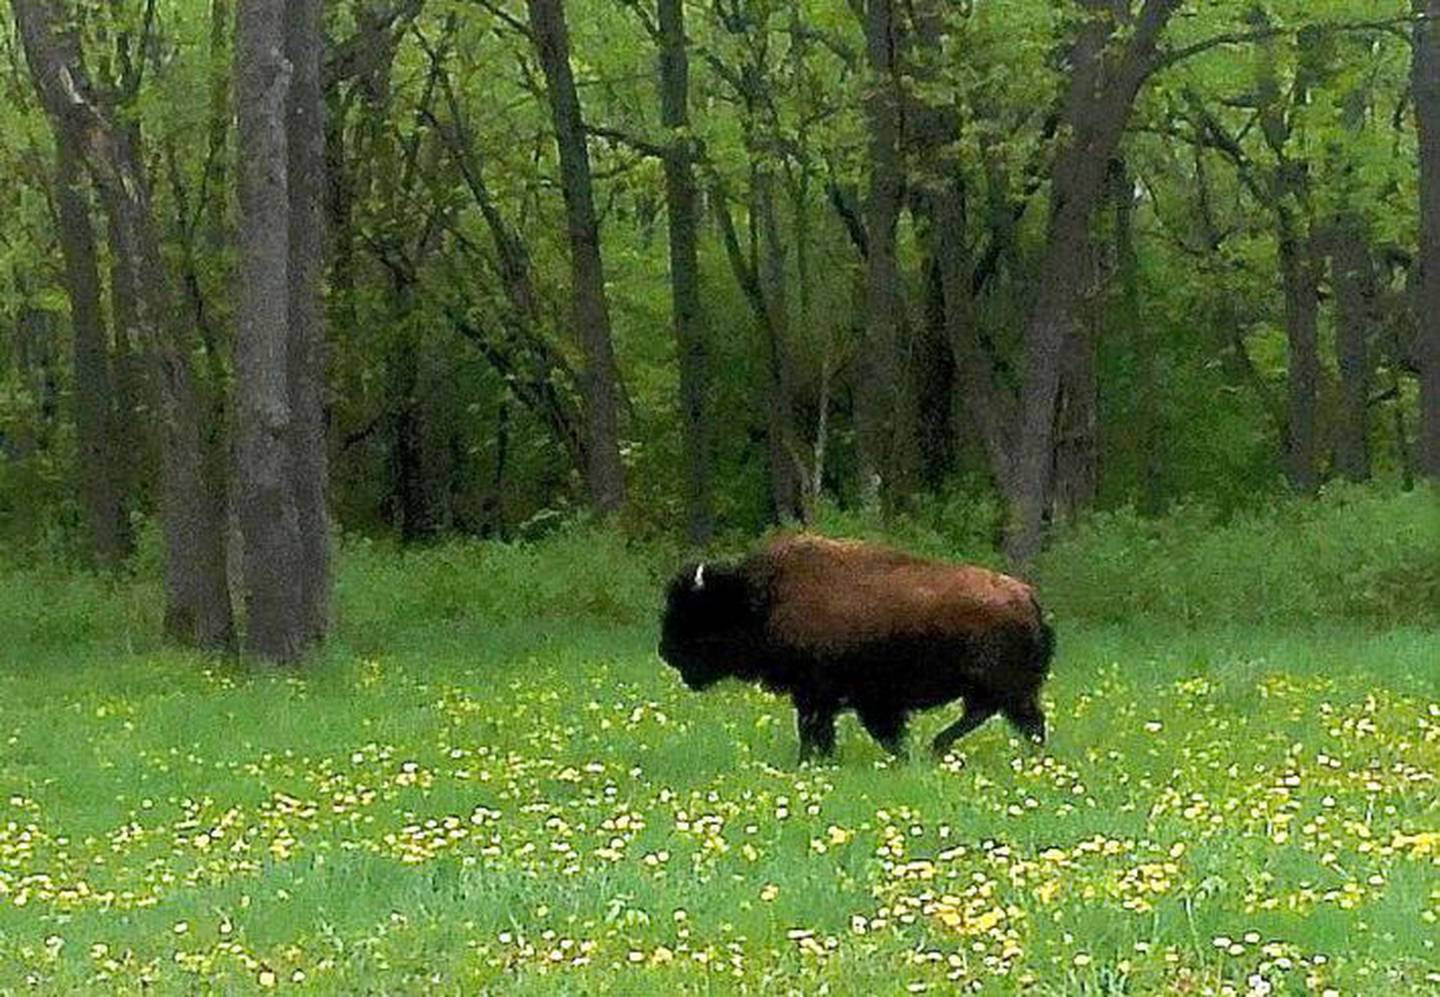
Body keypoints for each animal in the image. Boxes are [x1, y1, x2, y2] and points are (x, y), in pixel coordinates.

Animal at [659, 538, 1054, 760]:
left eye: (696, 612)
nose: (666, 650)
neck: (759, 599)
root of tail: (1027, 597)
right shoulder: (839, 699)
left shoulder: (820, 695)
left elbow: (817, 729)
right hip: (995, 689)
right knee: (989, 714)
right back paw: (938, 747)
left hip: (1007, 687)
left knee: (1023, 720)